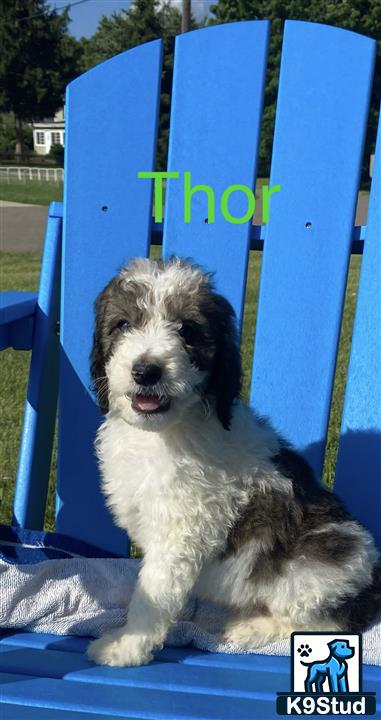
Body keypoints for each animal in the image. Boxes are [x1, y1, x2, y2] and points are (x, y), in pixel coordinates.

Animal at [86, 256, 380, 668]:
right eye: (123, 325)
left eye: (188, 329)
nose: (146, 371)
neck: (164, 431)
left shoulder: (181, 530)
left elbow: (153, 593)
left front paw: (127, 646)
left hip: (316, 563)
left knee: (325, 624)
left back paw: (251, 626)